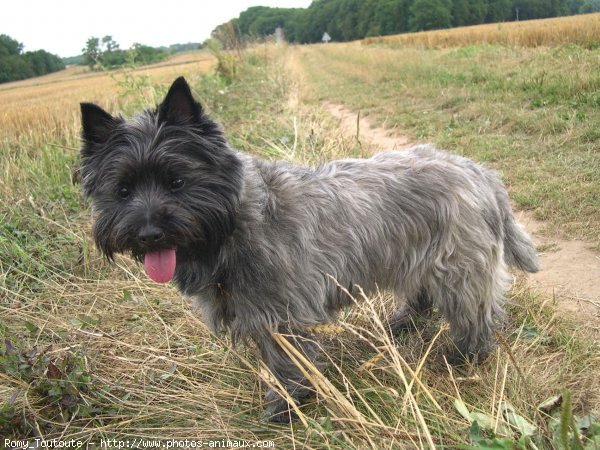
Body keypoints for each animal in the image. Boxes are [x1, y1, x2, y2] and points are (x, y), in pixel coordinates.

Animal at [79, 76, 540, 422]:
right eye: (122, 190)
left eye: (177, 181)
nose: (148, 234)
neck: (235, 223)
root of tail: (479, 171)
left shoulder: (283, 317)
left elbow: (286, 367)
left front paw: (285, 408)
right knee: (423, 293)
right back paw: (403, 324)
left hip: (459, 268)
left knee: (476, 315)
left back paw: (464, 357)